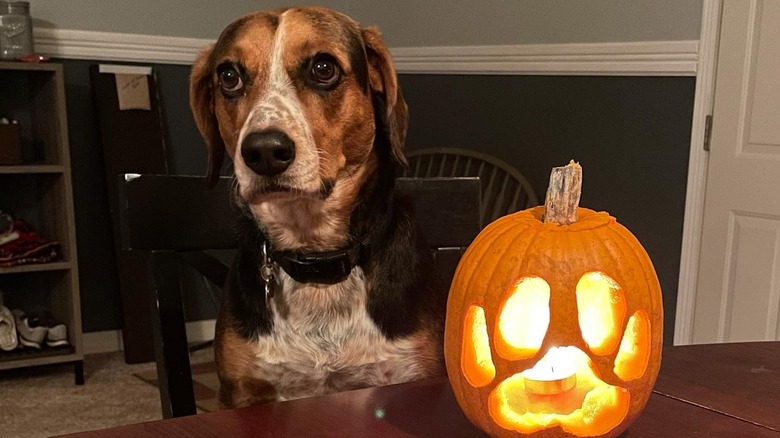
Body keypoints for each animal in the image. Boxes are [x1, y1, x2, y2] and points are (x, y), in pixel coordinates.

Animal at [187, 6, 444, 408]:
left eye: (324, 68)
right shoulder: (240, 391)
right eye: (229, 76)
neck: (315, 257)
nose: (263, 151)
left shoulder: (414, 370)